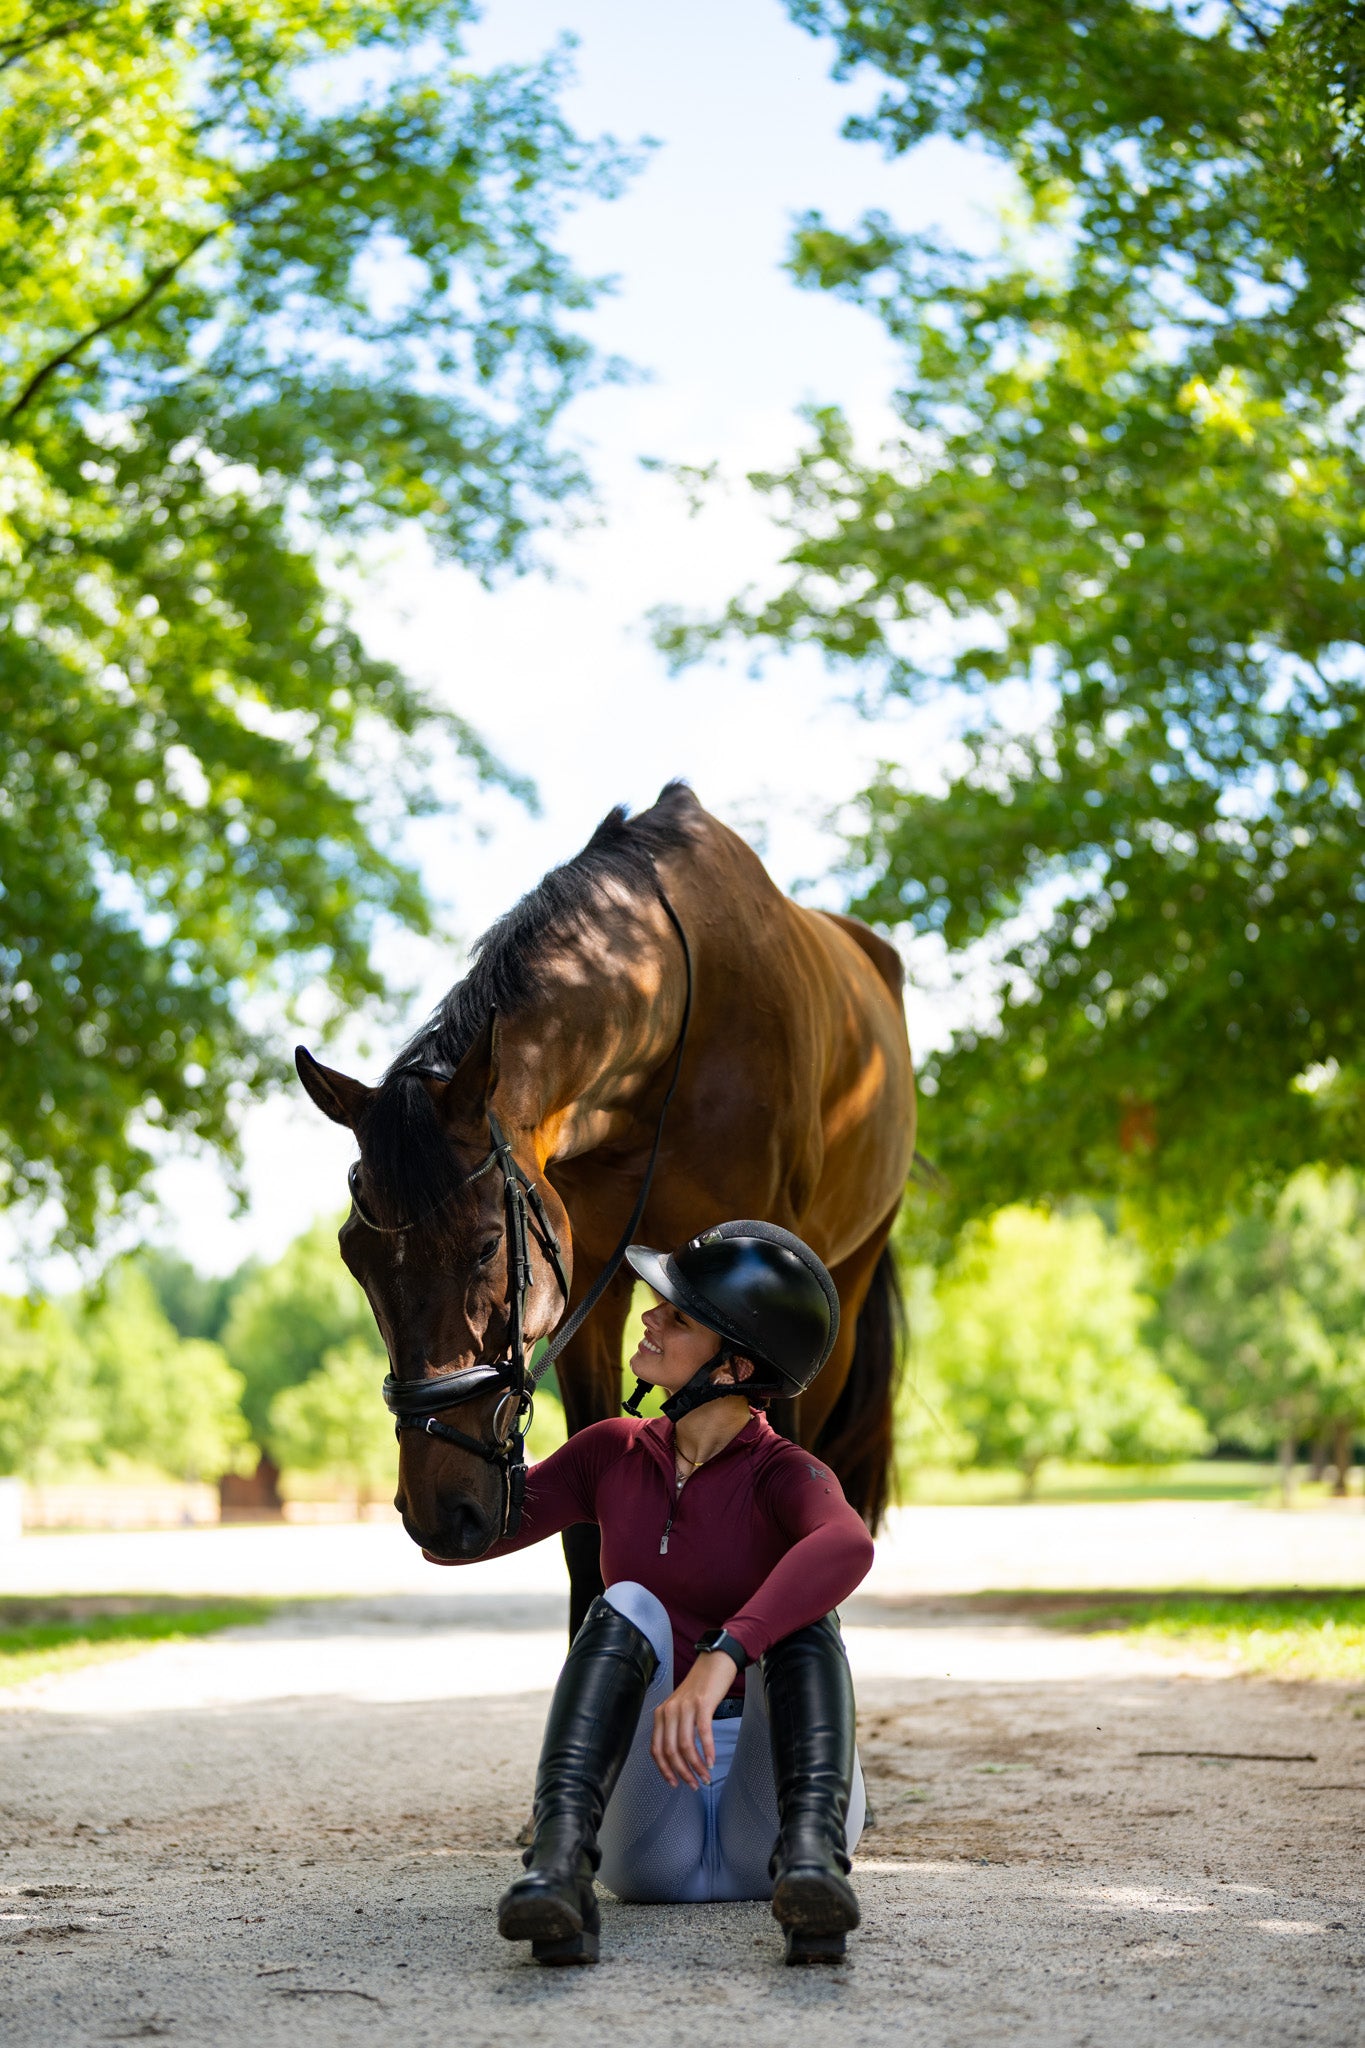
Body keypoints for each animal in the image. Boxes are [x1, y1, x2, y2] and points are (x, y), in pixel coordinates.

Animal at [298, 782, 916, 1630]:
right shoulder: (589, 1286)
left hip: (845, 1296)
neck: (671, 1015)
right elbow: (588, 1526)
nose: (441, 1514)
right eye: (353, 1258)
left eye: (486, 1246)